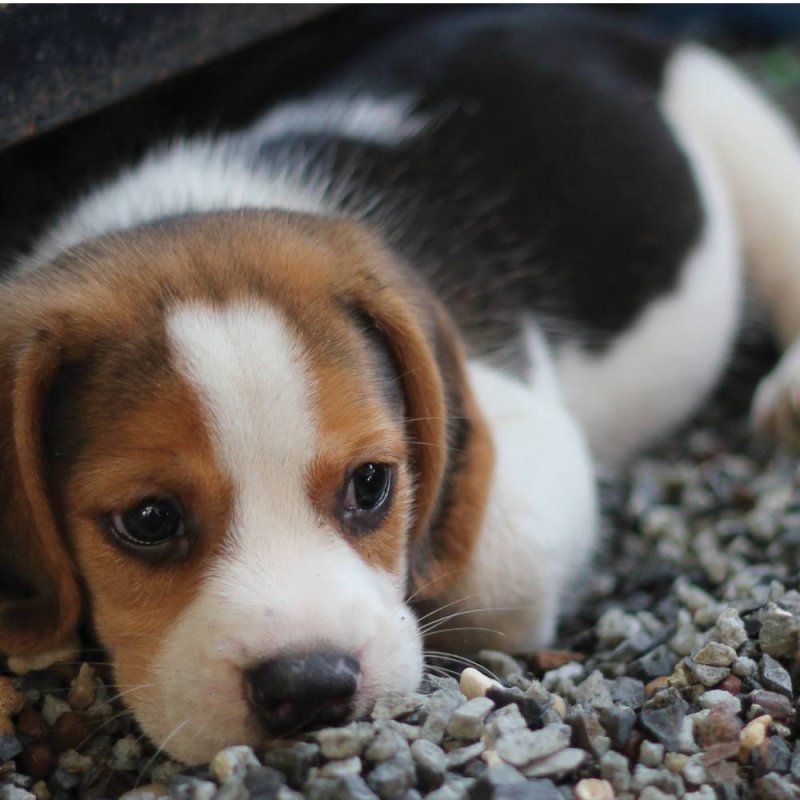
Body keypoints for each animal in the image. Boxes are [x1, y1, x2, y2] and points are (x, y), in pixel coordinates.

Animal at [1, 9, 800, 764]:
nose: (310, 686)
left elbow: (494, 566)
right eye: (149, 520)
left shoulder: (523, 434)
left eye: (370, 483)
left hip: (731, 121)